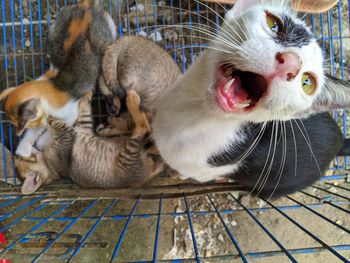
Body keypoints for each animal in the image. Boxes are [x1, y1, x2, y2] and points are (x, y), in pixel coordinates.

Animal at [0, 0, 115, 159]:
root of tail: (87, 5)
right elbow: (38, 128)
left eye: (19, 124)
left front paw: (42, 141)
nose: (17, 132)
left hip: (108, 33)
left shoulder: (71, 115)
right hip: (58, 23)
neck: (51, 85)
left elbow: (56, 130)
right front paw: (24, 147)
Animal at [15, 91, 163, 196]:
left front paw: (86, 95)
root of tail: (151, 171)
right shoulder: (67, 136)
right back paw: (131, 101)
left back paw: (111, 124)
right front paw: (44, 114)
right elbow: (54, 121)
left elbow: (83, 110)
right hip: (127, 156)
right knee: (143, 128)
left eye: (21, 158)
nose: (16, 156)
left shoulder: (82, 128)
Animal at [153, 0, 350, 198]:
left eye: (307, 82)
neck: (193, 112)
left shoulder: (202, 170)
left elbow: (187, 173)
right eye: (273, 23)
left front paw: (175, 174)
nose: (291, 63)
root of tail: (341, 141)